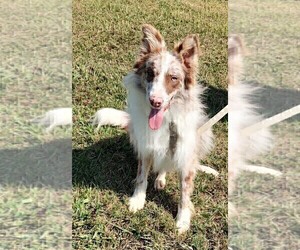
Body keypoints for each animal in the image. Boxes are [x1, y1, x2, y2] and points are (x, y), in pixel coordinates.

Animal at [95, 24, 217, 233]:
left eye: (174, 78)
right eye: (150, 73)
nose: (155, 102)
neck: (166, 121)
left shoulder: (185, 156)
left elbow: (184, 193)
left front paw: (182, 221)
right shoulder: (146, 147)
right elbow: (141, 177)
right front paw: (137, 200)